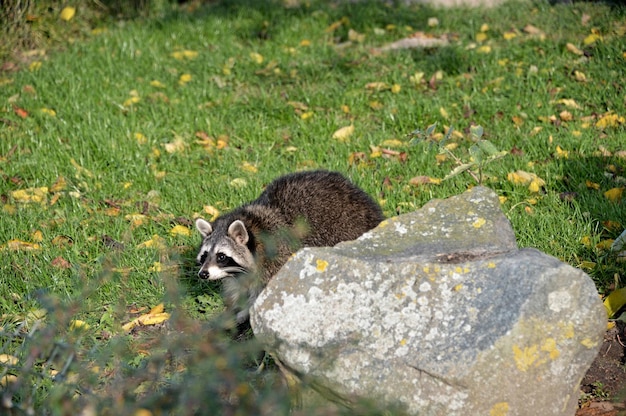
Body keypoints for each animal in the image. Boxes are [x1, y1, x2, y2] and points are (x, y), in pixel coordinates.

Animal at [195, 171, 382, 324]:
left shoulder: (276, 257)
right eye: (204, 255)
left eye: (221, 256)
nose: (203, 274)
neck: (252, 227)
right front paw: (242, 307)